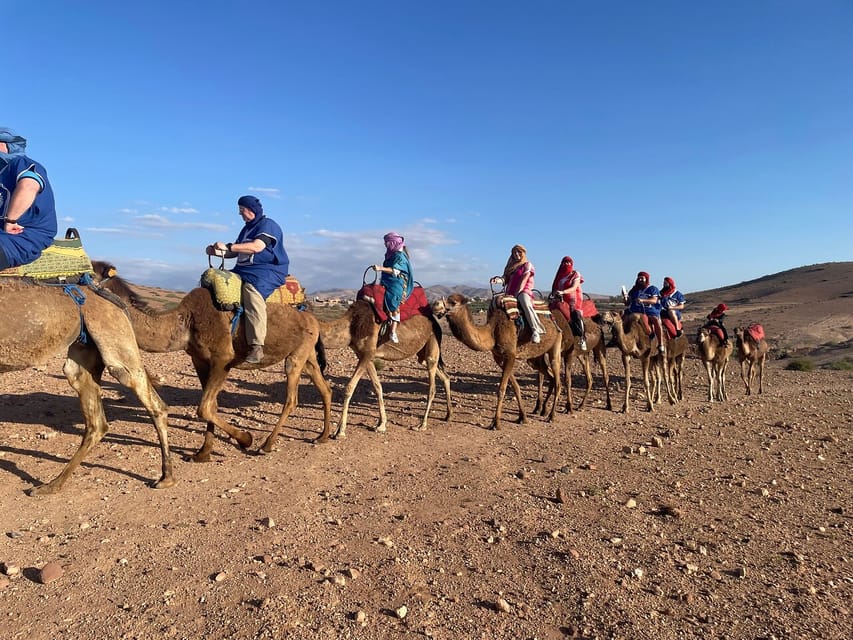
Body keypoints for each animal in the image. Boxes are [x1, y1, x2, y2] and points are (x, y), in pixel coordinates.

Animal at [0, 278, 175, 492]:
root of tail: (110, 297)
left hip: (116, 344)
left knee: (155, 404)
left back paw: (166, 478)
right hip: (84, 354)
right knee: (97, 422)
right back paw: (53, 485)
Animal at [91, 260, 332, 460]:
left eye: (88, 272)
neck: (186, 322)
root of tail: (311, 315)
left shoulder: (222, 359)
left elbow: (204, 408)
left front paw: (245, 439)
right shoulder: (200, 360)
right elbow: (211, 406)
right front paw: (203, 453)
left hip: (296, 357)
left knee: (291, 399)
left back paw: (266, 445)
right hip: (308, 355)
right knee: (324, 388)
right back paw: (323, 435)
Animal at [316, 300, 452, 436]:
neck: (350, 326)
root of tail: (436, 324)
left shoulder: (368, 353)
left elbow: (349, 387)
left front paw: (340, 431)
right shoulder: (364, 356)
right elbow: (377, 387)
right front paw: (381, 425)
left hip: (432, 343)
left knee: (432, 387)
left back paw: (422, 425)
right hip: (422, 354)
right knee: (445, 376)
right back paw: (448, 415)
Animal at [430, 296, 564, 430]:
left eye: (453, 302)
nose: (435, 305)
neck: (492, 332)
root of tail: (555, 319)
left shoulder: (511, 355)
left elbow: (501, 389)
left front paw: (496, 423)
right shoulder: (499, 358)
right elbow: (515, 387)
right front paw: (523, 417)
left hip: (556, 344)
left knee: (557, 379)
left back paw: (551, 416)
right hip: (536, 357)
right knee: (550, 376)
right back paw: (543, 410)